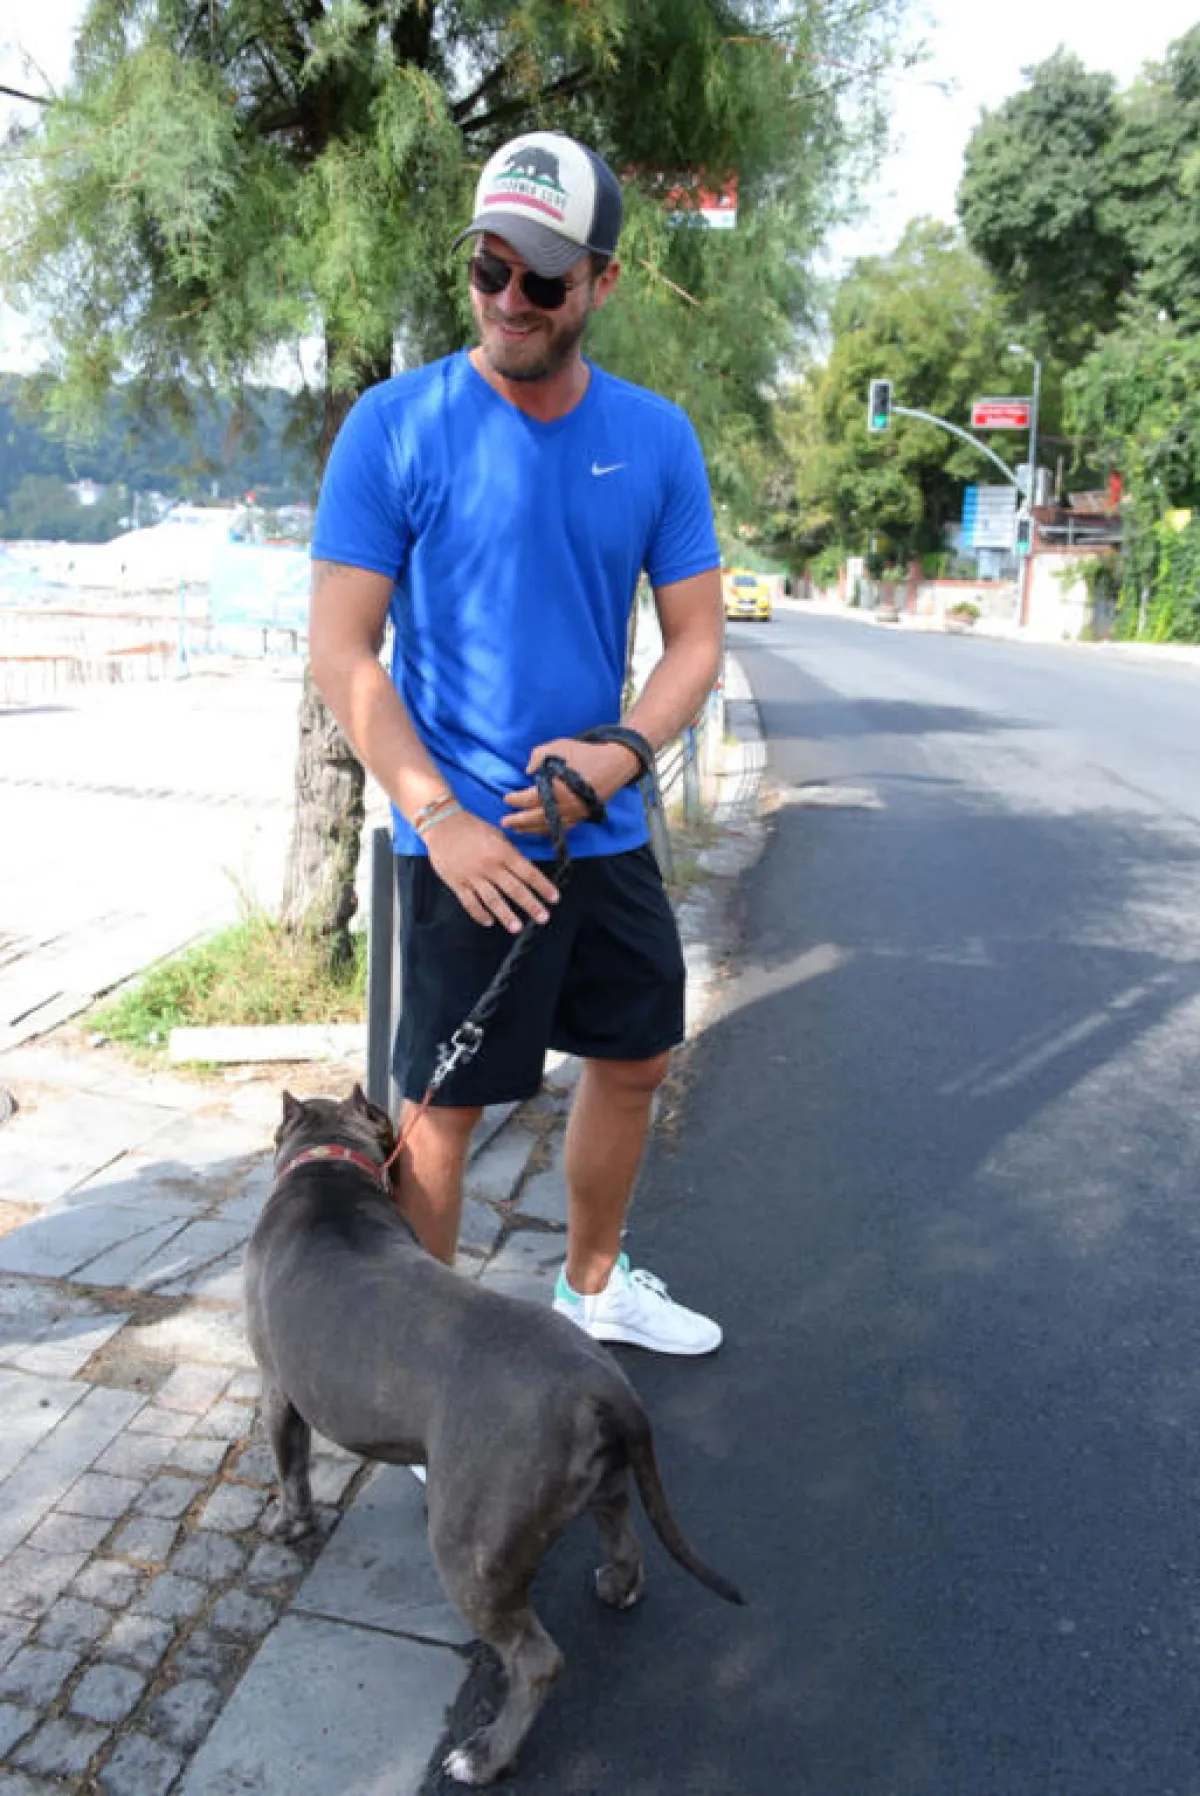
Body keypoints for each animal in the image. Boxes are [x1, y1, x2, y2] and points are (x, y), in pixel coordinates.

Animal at [243, 1085, 744, 1786]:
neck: (329, 1169)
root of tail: (602, 1385)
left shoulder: (276, 1390)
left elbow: (292, 1471)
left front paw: (288, 1526)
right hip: (605, 1485)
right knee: (624, 1538)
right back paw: (617, 1587)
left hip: (470, 1557)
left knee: (536, 1660)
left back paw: (483, 1756)